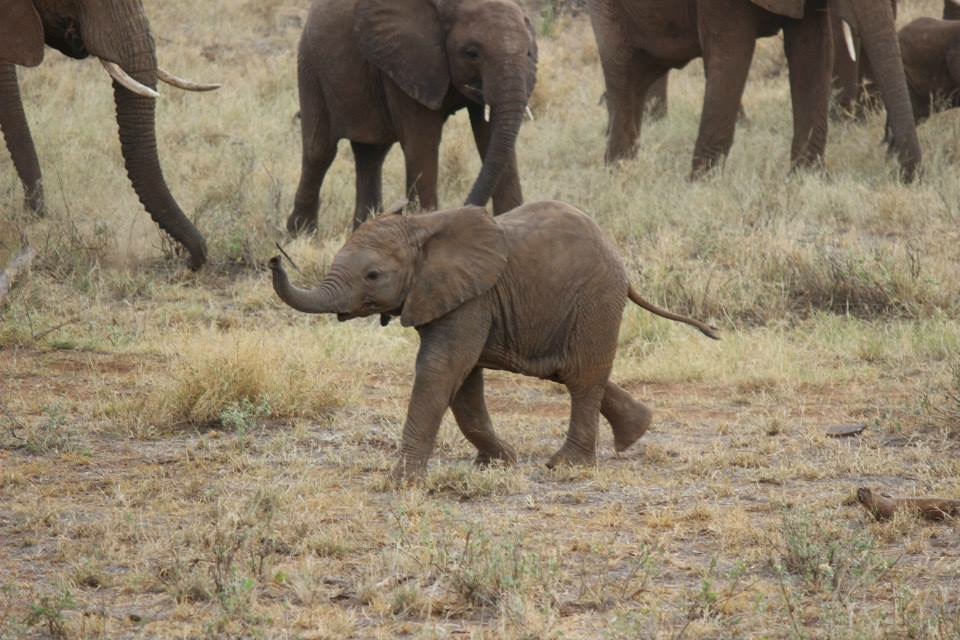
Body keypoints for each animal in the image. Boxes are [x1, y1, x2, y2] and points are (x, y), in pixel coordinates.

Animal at [266, 200, 716, 480]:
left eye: (373, 275)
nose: (273, 258)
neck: (423, 225)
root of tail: (619, 259)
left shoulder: (472, 298)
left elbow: (441, 367)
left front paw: (401, 482)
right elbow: (463, 381)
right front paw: (499, 463)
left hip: (595, 298)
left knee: (582, 376)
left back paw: (566, 467)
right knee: (568, 370)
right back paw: (636, 432)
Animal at [284, 0, 540, 232]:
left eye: (528, 53)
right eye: (472, 53)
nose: (467, 210)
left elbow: (489, 140)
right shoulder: (407, 60)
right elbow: (423, 142)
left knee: (371, 154)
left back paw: (362, 229)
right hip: (310, 65)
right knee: (320, 151)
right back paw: (300, 234)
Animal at [584, 0, 924, 180]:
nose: (906, 175)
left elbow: (812, 51)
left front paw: (807, 179)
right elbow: (732, 52)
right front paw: (702, 185)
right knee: (623, 73)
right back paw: (619, 173)